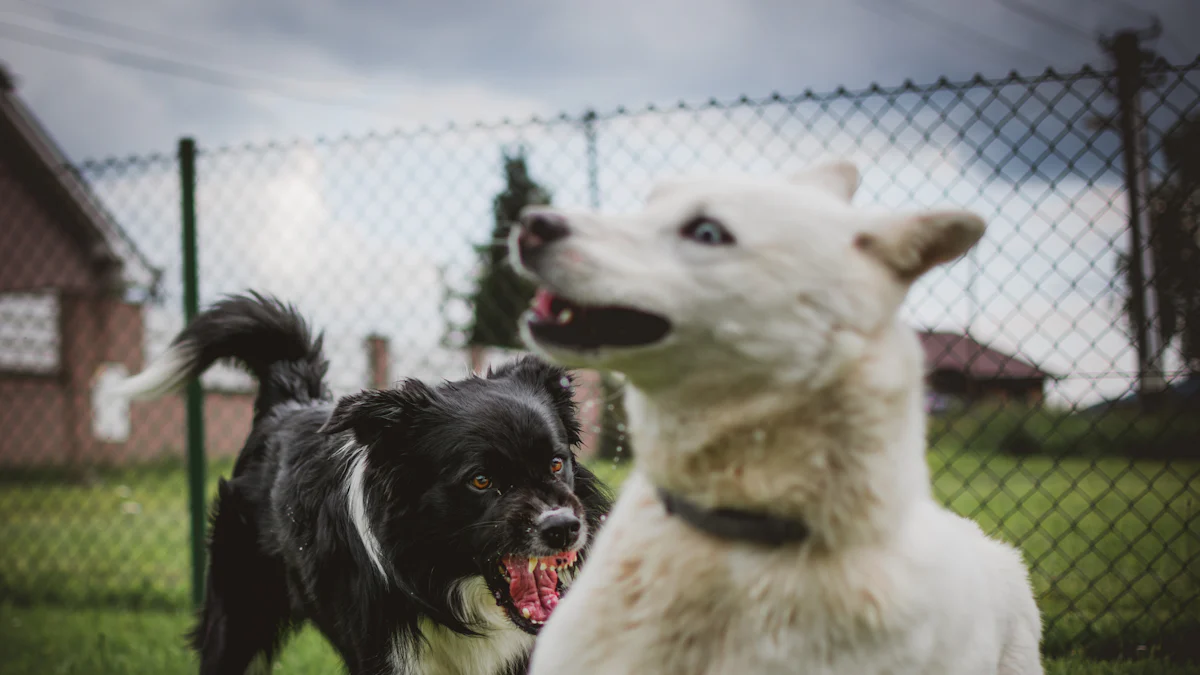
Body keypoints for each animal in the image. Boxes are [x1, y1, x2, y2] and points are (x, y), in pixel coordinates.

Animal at [115, 293, 609, 672]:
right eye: (481, 480)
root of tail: (289, 400)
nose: (564, 528)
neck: (446, 587)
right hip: (238, 616)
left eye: (555, 464)